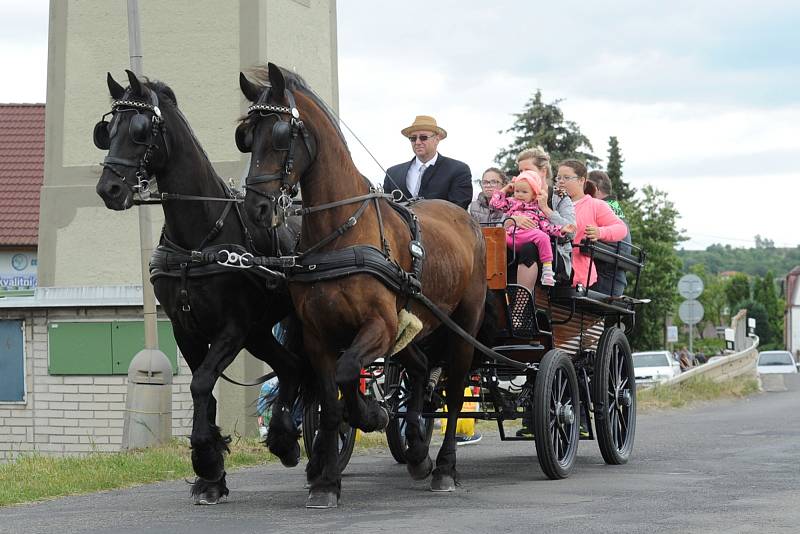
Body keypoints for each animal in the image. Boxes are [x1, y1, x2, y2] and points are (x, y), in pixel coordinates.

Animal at [94, 71, 306, 506]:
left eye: (141, 130)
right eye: (108, 130)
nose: (109, 189)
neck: (201, 238)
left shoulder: (231, 329)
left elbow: (201, 383)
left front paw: (206, 458)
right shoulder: (186, 329)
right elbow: (202, 390)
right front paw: (211, 476)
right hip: (260, 333)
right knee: (291, 366)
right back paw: (284, 441)